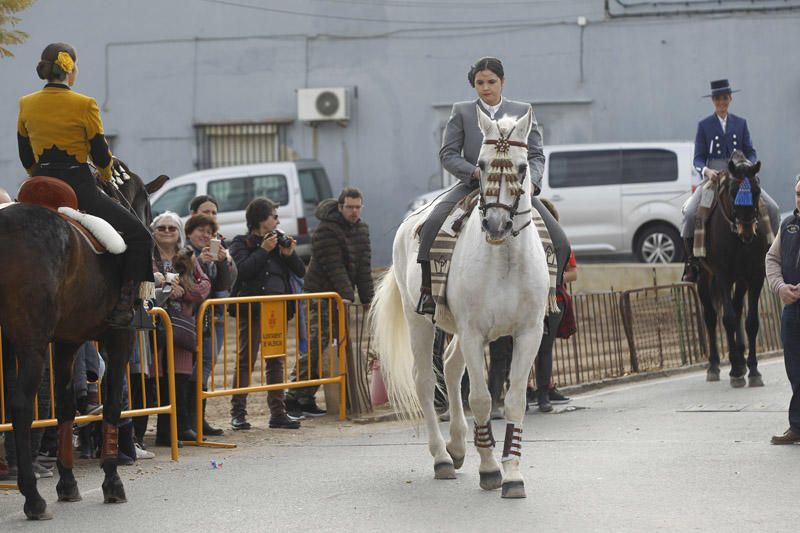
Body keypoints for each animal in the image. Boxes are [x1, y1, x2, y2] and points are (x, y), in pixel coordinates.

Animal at [0, 159, 166, 520]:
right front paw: (112, 481)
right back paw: (32, 498)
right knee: (21, 406)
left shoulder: (66, 343)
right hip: (31, 345)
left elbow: (65, 409)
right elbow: (113, 404)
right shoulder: (120, 338)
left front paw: (67, 483)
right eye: (147, 206)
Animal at [368, 108, 552, 498]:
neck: (504, 258)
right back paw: (442, 457)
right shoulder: (473, 333)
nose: (496, 224)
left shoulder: (528, 333)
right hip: (420, 322)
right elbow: (481, 399)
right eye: (480, 164)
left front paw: (513, 475)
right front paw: (490, 469)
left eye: (523, 167)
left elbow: (514, 400)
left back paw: (456, 447)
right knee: (425, 380)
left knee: (452, 369)